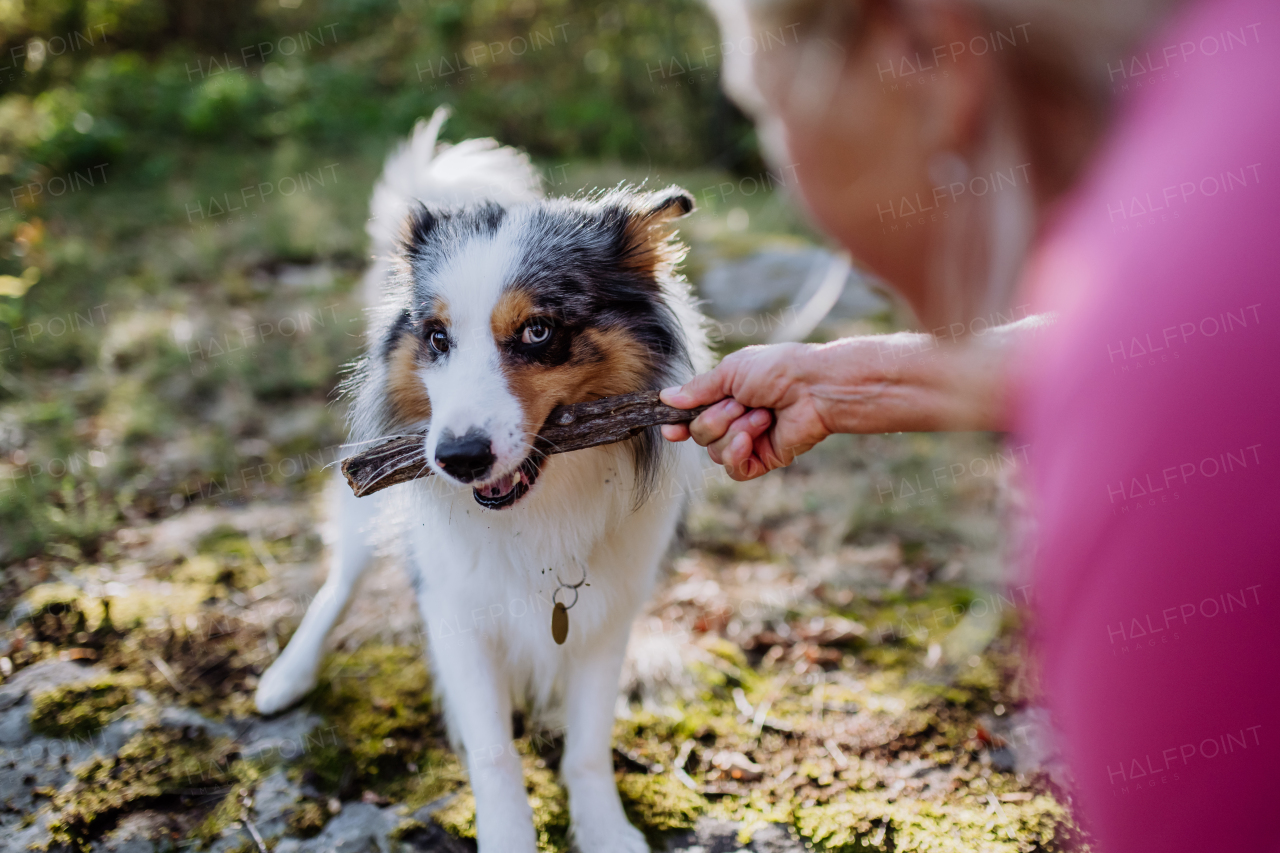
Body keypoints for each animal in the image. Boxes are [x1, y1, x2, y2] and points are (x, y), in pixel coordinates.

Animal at [249, 108, 711, 850]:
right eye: (437, 337)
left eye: (538, 331)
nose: (458, 457)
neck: (538, 510)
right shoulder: (454, 610)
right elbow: (494, 753)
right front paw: (507, 832)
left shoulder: (609, 612)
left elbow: (588, 743)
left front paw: (605, 829)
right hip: (366, 512)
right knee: (340, 580)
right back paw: (287, 674)